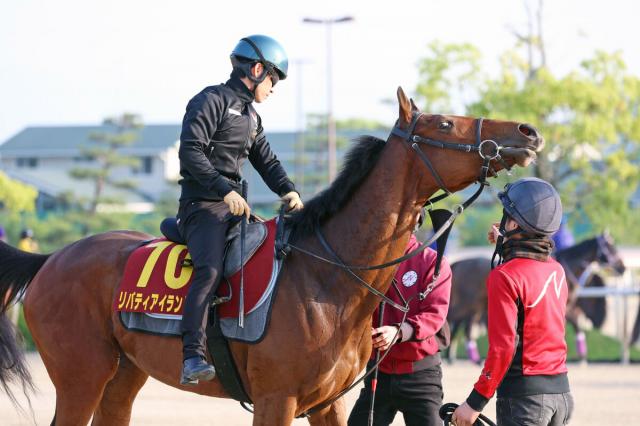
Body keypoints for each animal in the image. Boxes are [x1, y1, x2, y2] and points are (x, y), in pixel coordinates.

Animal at [0, 87, 544, 426]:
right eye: (447, 123)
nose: (526, 131)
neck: (327, 275)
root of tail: (51, 259)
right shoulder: (275, 400)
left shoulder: (327, 405)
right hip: (81, 376)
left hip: (123, 374)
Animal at [444, 233, 624, 362]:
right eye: (610, 246)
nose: (622, 267)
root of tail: (458, 263)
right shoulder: (565, 309)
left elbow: (577, 326)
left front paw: (582, 356)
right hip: (467, 304)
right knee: (454, 319)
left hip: (476, 306)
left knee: (464, 327)